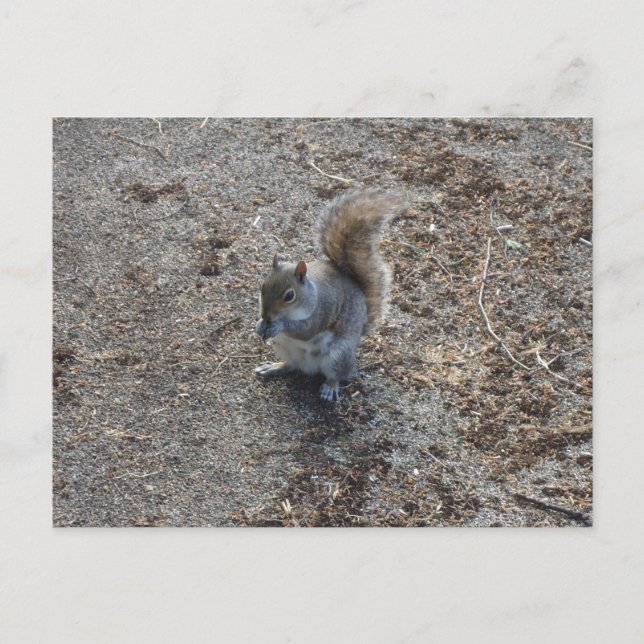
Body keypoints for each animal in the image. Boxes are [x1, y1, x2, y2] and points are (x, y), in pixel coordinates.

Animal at [254, 189, 405, 401]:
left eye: (289, 295)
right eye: (262, 285)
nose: (266, 316)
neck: (312, 293)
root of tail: (310, 367)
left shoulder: (323, 309)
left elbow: (306, 330)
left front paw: (279, 325)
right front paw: (259, 324)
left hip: (338, 355)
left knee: (338, 374)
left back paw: (329, 387)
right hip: (284, 348)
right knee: (292, 365)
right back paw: (274, 367)